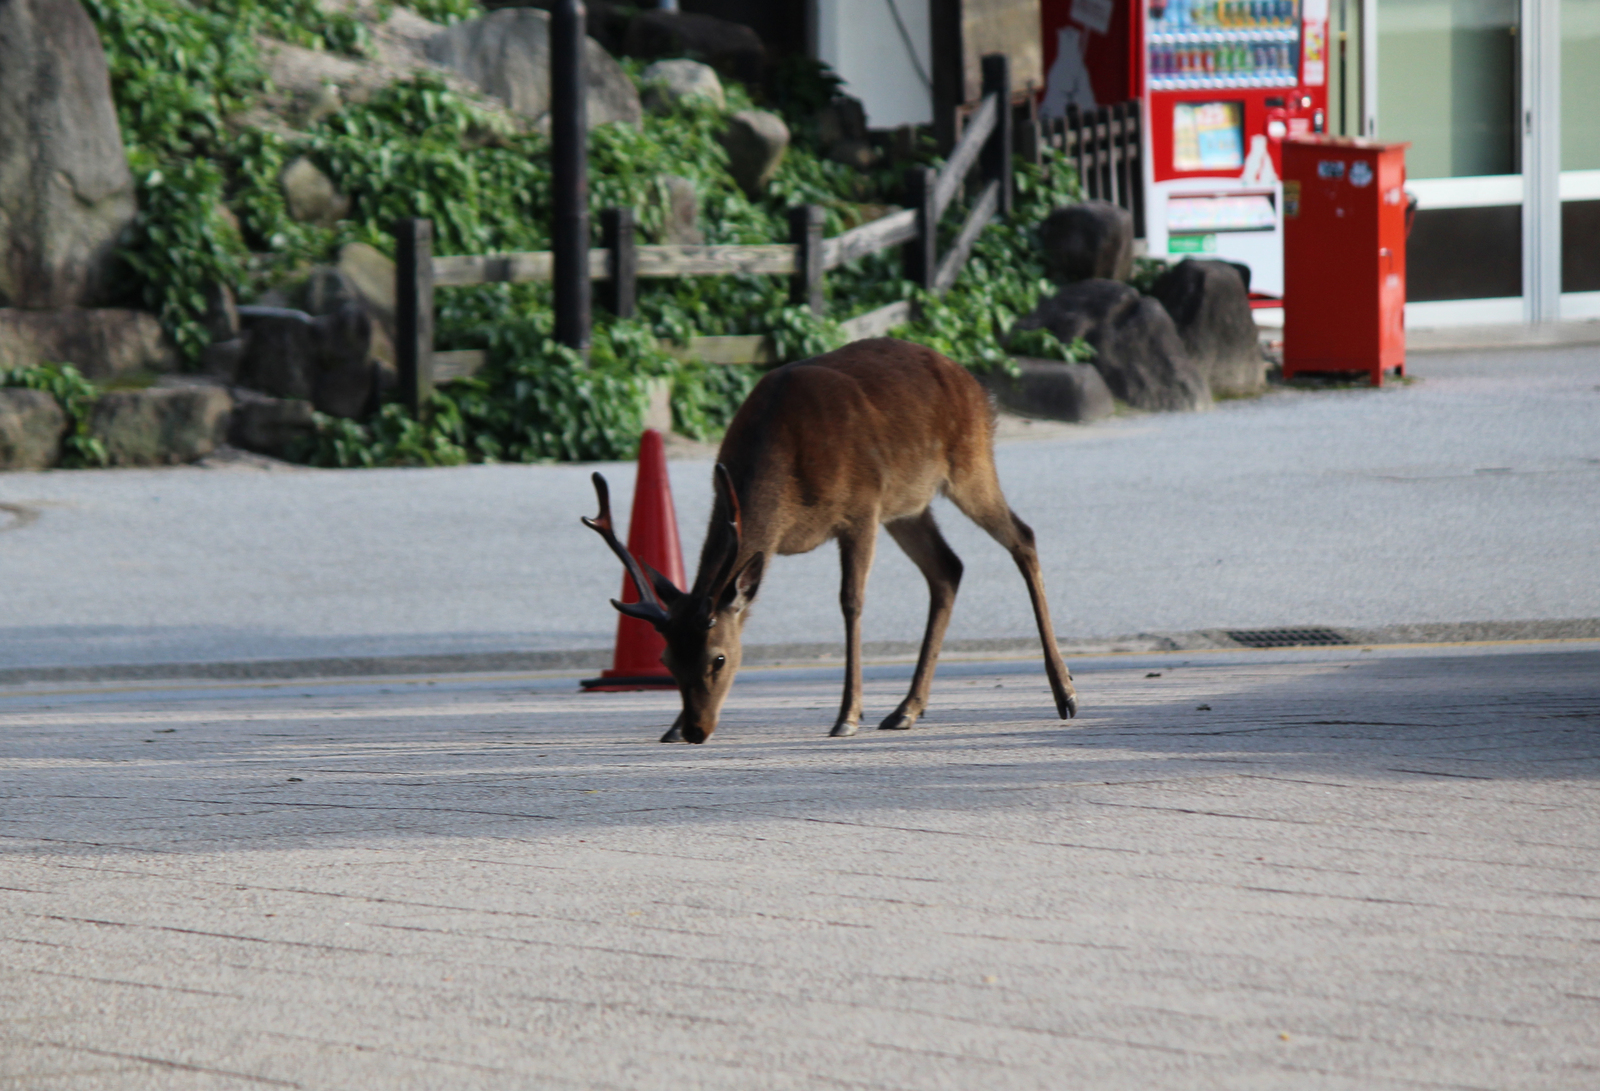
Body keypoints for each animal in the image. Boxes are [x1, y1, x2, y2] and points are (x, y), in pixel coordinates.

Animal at [585, 335, 1075, 742]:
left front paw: (847, 716)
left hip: (969, 464)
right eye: (666, 660)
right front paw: (668, 727)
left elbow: (850, 602)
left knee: (1023, 537)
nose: (694, 729)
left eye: (718, 658)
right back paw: (906, 709)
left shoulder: (861, 508)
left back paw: (1065, 693)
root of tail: (973, 383)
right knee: (948, 568)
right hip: (908, 506)